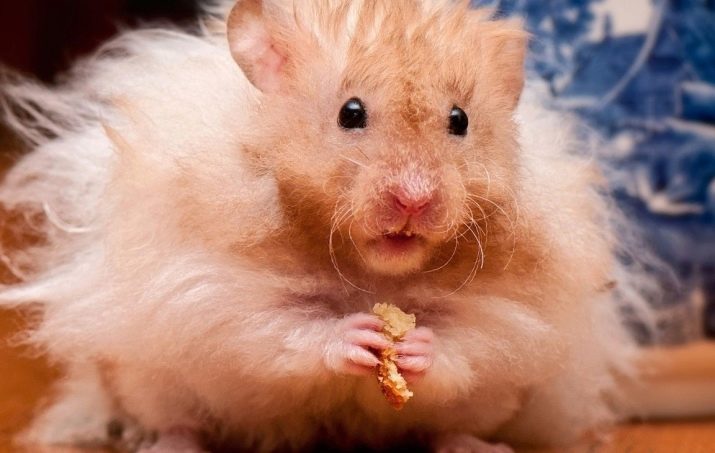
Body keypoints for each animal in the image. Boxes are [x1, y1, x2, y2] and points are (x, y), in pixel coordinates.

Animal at [0, 0, 641, 452]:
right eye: (349, 113)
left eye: (459, 120)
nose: (414, 200)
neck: (370, 271)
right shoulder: (210, 291)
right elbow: (278, 329)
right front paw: (356, 335)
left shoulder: (517, 317)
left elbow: (469, 340)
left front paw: (415, 347)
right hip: (146, 377)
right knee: (177, 420)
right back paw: (167, 447)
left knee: (453, 426)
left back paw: (480, 449)